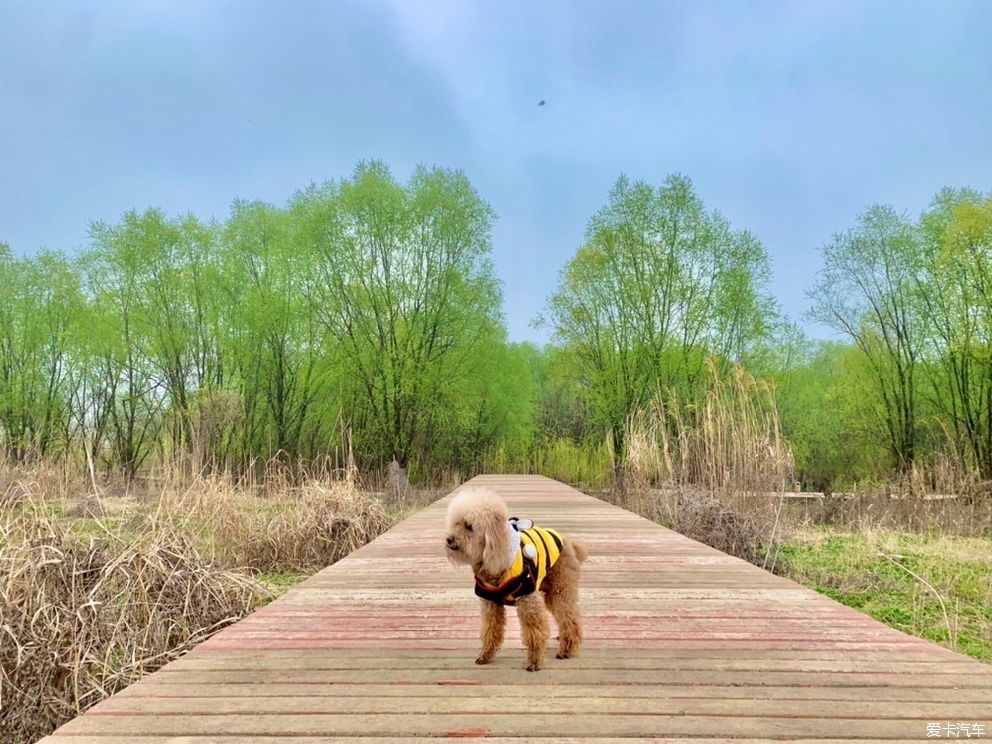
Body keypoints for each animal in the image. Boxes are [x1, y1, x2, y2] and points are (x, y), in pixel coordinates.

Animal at [444, 486, 588, 672]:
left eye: (469, 526)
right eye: (455, 523)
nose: (449, 539)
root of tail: (568, 541)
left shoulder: (527, 598)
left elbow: (534, 631)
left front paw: (534, 661)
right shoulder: (490, 602)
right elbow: (491, 629)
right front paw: (485, 655)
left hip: (561, 589)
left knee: (570, 618)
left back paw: (566, 650)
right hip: (551, 592)